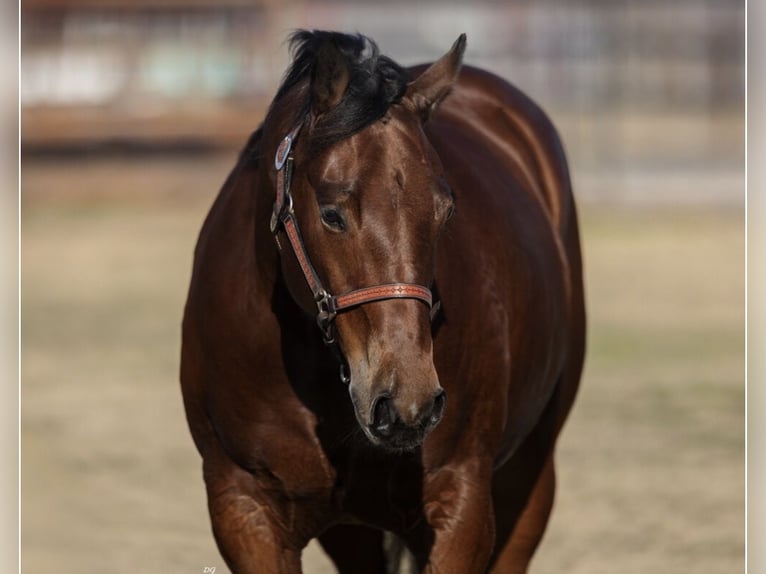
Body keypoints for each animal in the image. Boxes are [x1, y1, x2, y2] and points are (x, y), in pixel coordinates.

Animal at [180, 30, 585, 573]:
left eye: (445, 211)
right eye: (331, 213)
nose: (409, 401)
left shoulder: (460, 505)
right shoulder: (244, 510)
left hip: (528, 475)